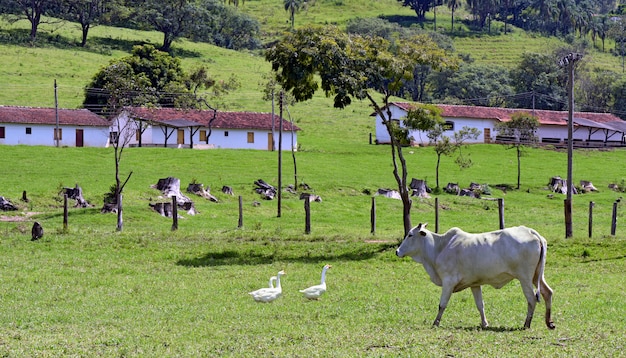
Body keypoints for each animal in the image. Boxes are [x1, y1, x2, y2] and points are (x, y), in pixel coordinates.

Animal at [398, 224, 552, 330]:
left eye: (410, 235)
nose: (397, 251)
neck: (440, 247)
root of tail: (530, 231)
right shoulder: (475, 284)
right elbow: (480, 305)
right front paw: (485, 323)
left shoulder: (448, 281)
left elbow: (442, 305)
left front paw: (435, 323)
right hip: (537, 276)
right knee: (547, 292)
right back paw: (549, 322)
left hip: (525, 278)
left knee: (531, 299)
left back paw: (526, 324)